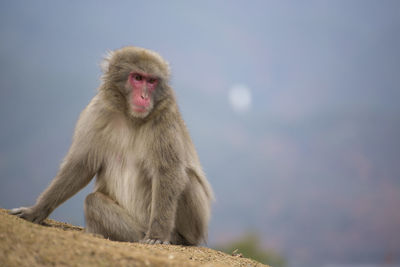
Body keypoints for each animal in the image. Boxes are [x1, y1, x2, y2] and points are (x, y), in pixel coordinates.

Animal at [9, 46, 214, 247]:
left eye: (152, 81)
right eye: (137, 78)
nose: (144, 97)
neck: (131, 117)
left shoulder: (165, 117)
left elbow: (168, 172)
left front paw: (158, 234)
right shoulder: (96, 112)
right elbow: (81, 166)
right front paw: (36, 210)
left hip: (195, 225)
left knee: (186, 177)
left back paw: (176, 238)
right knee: (93, 202)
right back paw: (135, 236)